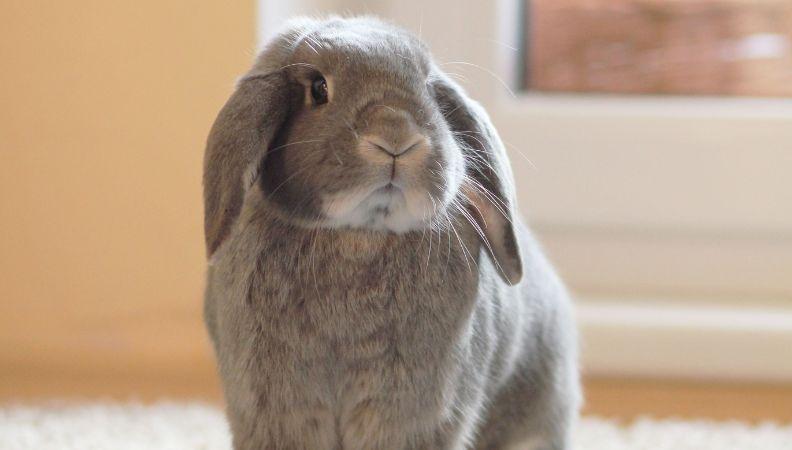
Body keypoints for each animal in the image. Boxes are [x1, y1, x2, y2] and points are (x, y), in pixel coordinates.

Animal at [203, 16, 580, 450]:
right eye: (319, 89)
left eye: (428, 88)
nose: (396, 135)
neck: (358, 233)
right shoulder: (274, 406)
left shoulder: (414, 411)